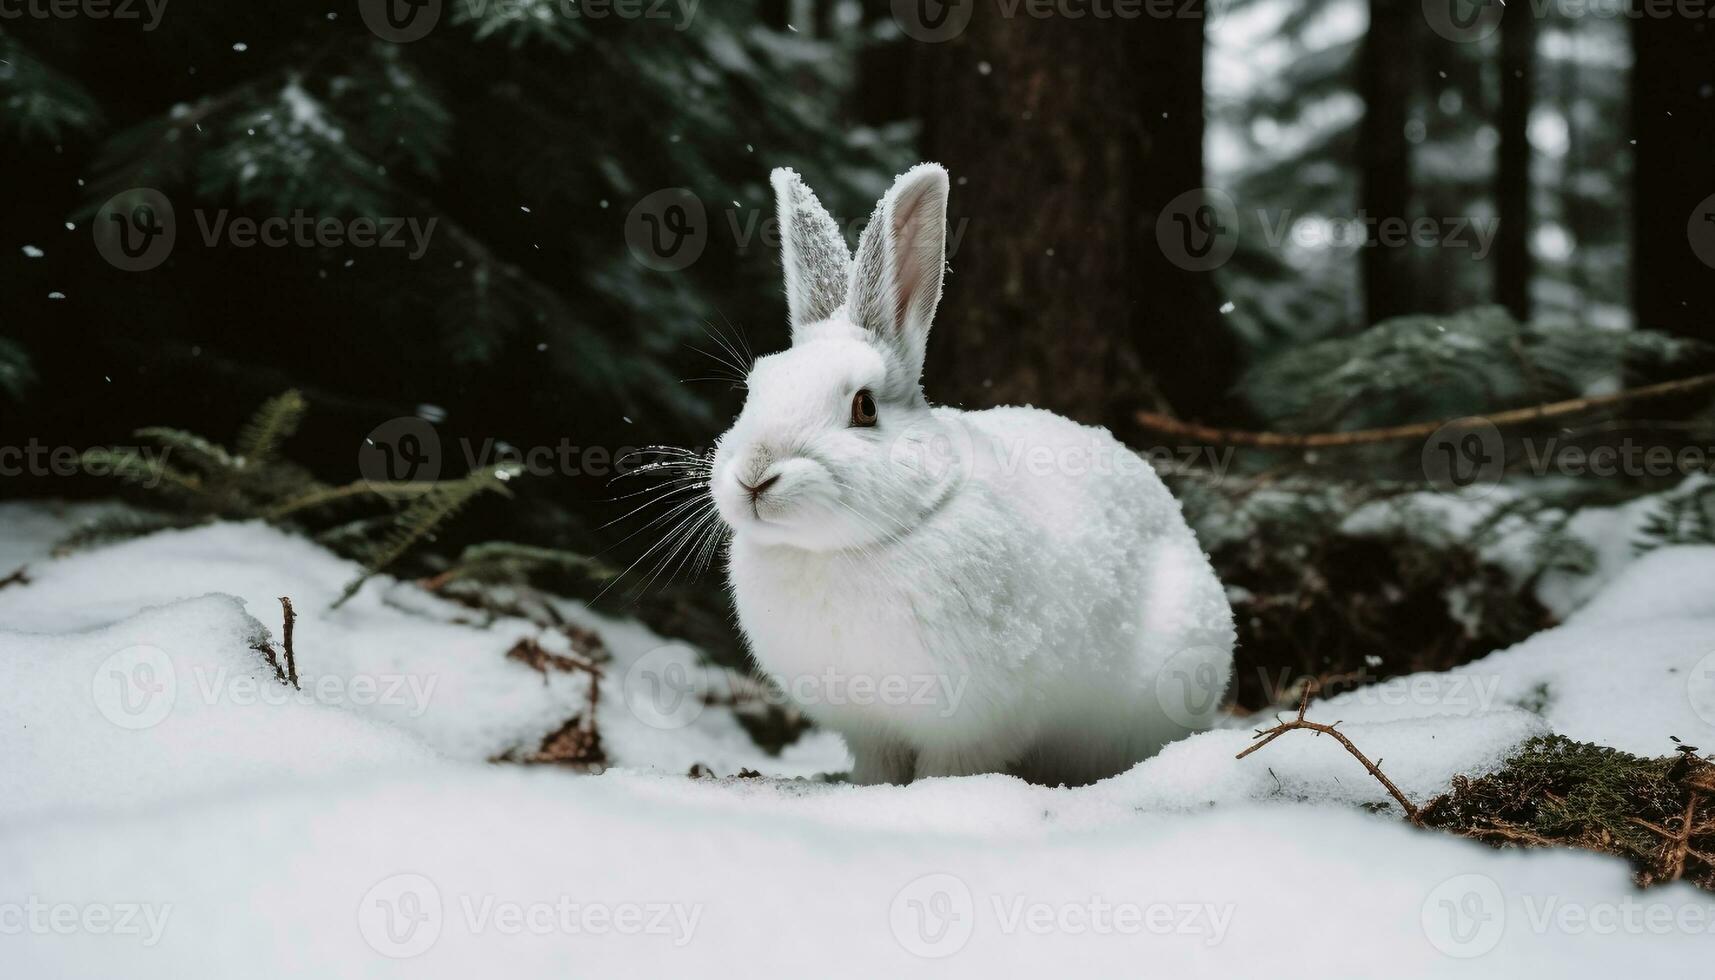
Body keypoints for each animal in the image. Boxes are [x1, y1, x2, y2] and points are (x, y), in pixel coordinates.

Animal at [710, 163, 1234, 789]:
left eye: (865, 407)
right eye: (753, 389)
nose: (755, 476)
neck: (843, 549)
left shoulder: (974, 725)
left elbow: (952, 768)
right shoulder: (870, 730)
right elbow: (878, 767)